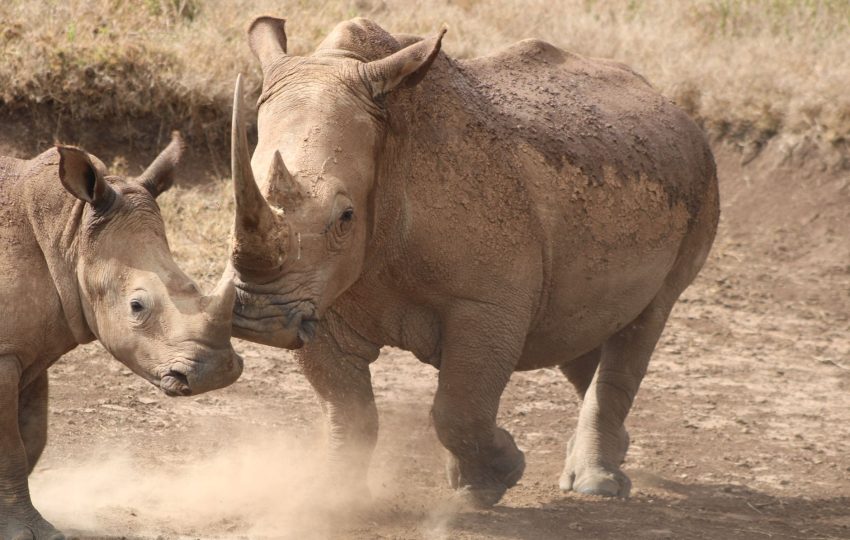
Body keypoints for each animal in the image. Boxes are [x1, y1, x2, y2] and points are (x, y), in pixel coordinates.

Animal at [0, 133, 243, 539]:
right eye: (137, 306)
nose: (215, 373)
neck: (68, 232)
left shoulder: (28, 345)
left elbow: (32, 434)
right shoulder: (5, 353)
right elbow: (11, 447)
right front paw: (31, 532)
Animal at [229, 17, 719, 507]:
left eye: (346, 217)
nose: (259, 318)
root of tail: (673, 107)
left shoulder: (486, 304)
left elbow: (460, 405)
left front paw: (494, 479)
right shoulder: (317, 294)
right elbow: (346, 409)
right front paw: (334, 498)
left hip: (700, 180)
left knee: (646, 319)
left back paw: (597, 486)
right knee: (581, 327)